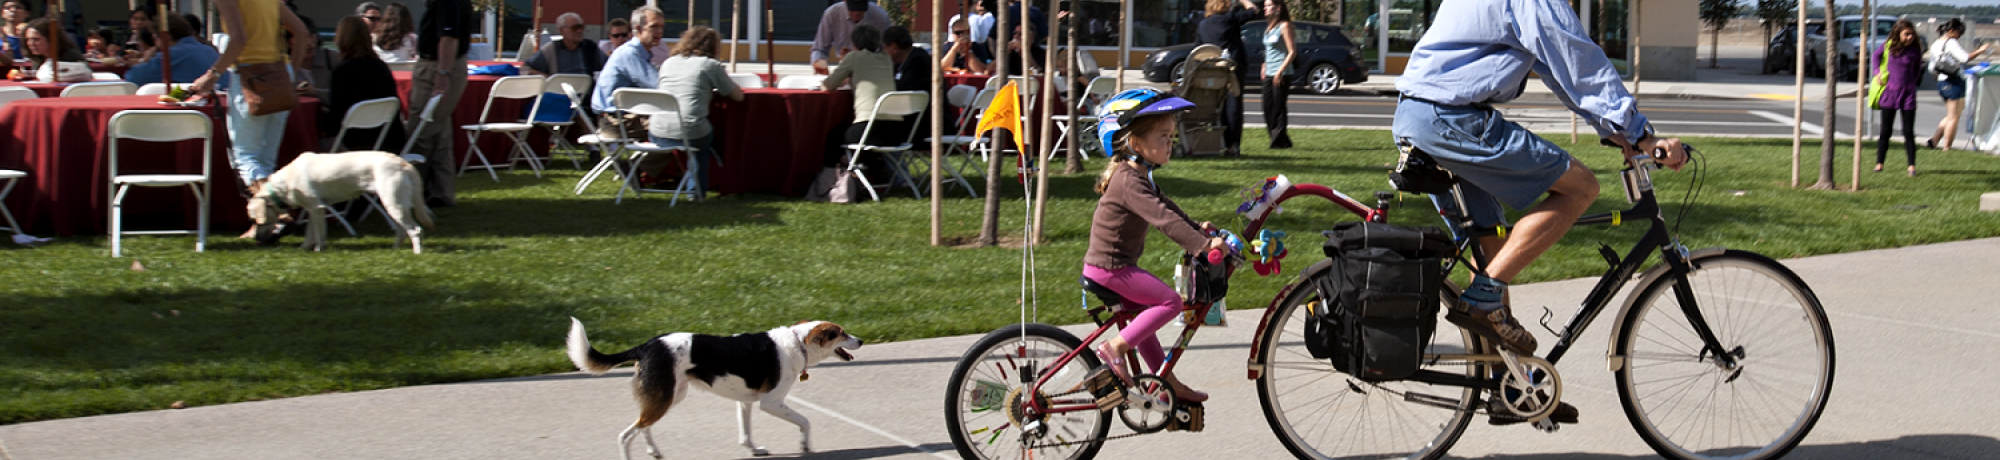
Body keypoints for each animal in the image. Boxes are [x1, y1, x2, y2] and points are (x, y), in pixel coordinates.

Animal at [248, 151, 436, 253]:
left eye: (257, 221)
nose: (255, 238)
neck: (283, 184)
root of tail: (404, 163)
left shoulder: (316, 208)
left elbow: (319, 234)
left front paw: (318, 250)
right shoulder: (313, 209)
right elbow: (310, 232)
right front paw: (305, 247)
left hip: (394, 205)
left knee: (416, 230)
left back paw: (417, 252)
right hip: (392, 205)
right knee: (402, 231)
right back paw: (395, 249)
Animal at [572, 318, 868, 458]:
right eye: (841, 333)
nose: (862, 340)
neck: (798, 343)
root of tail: (646, 345)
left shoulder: (746, 402)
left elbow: (745, 433)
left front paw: (754, 450)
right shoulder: (771, 402)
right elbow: (805, 421)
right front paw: (805, 445)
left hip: (671, 395)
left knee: (643, 426)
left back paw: (654, 452)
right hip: (666, 397)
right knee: (627, 435)